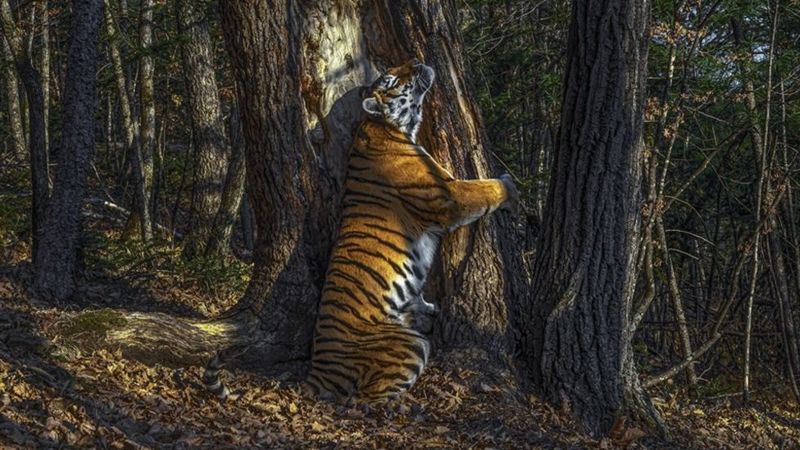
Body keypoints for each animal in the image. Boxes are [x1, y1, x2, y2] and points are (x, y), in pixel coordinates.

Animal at [305, 59, 518, 402]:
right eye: (392, 80)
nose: (417, 62)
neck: (386, 127)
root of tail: (317, 371)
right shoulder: (448, 196)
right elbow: (484, 188)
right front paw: (510, 186)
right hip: (408, 345)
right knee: (369, 398)